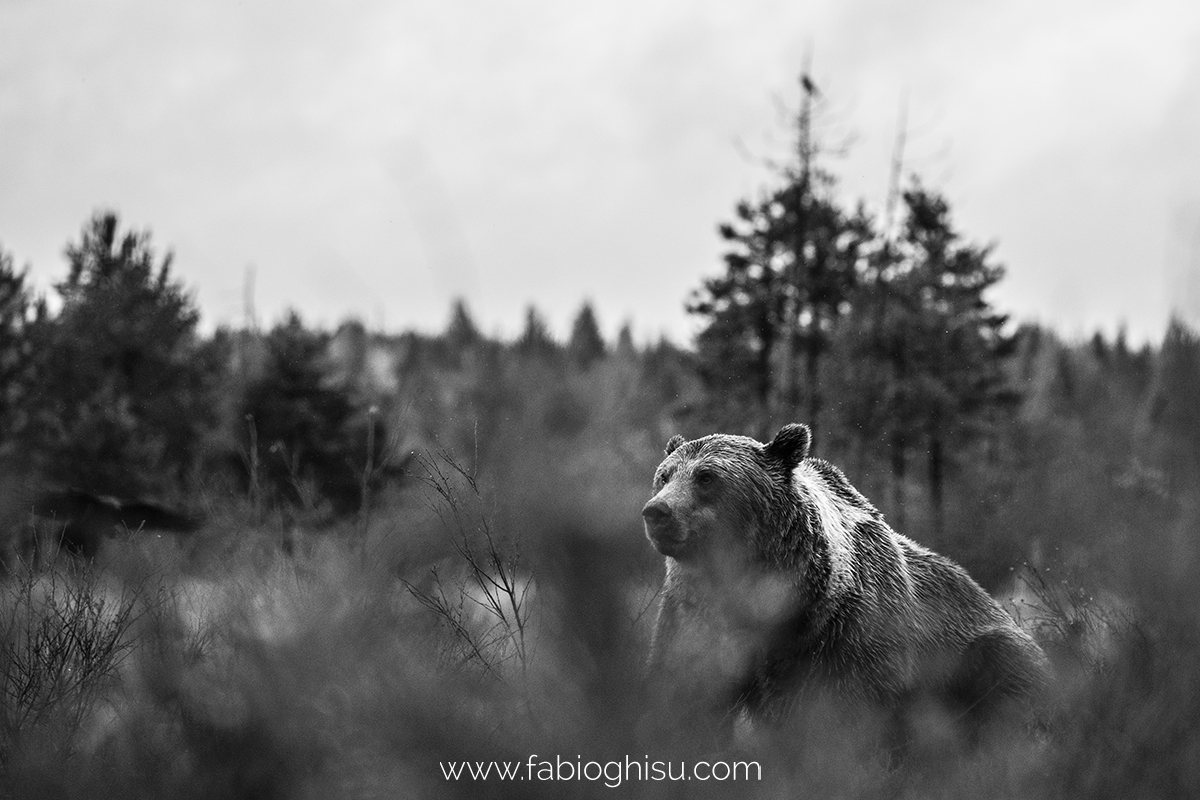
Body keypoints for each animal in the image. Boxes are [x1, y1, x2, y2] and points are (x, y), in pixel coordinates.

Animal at [643, 424, 1046, 743]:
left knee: (1007, 671)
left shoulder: (846, 635)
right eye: (664, 475)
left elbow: (841, 712)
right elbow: (689, 696)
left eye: (706, 477)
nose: (656, 511)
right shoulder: (695, 617)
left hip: (974, 649)